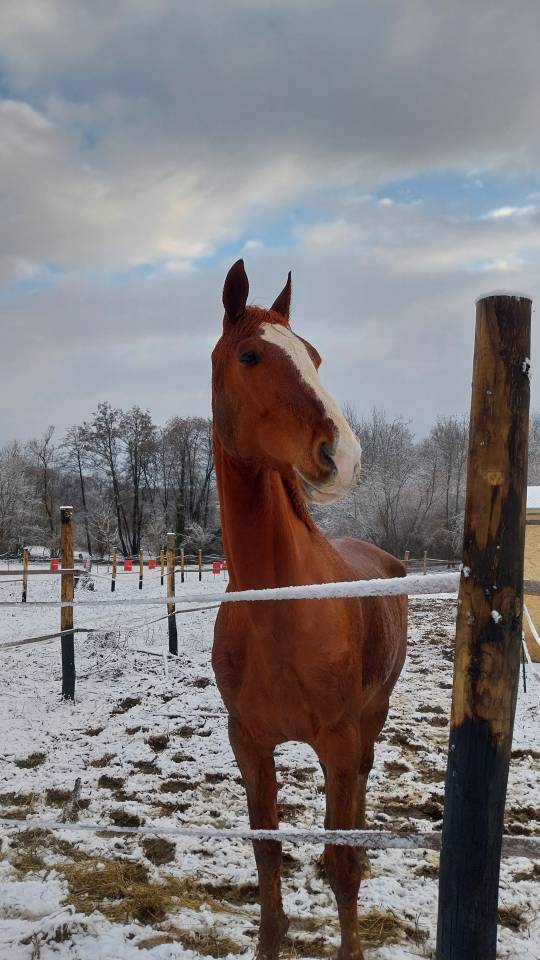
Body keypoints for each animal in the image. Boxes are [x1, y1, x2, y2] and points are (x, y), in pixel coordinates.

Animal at [211, 260, 408, 960]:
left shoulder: (339, 738)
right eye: (250, 355)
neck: (280, 612)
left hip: (371, 715)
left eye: (315, 357)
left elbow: (344, 865)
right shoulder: (249, 744)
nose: (342, 455)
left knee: (358, 797)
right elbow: (266, 857)